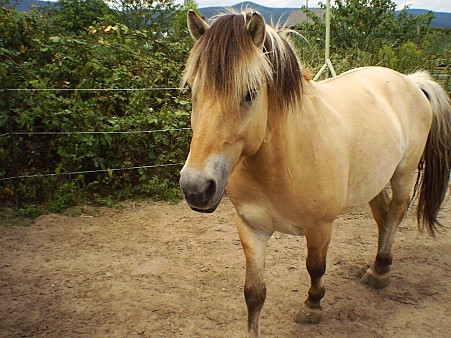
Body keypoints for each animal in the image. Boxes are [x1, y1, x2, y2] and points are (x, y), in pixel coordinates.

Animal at [178, 9, 451, 336]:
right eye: (192, 91)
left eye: (250, 93)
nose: (196, 187)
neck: (281, 162)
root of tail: (410, 81)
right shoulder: (250, 228)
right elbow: (254, 293)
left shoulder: (320, 227)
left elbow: (315, 267)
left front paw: (312, 306)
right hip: (374, 180)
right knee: (383, 217)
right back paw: (376, 268)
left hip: (403, 174)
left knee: (396, 213)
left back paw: (381, 272)